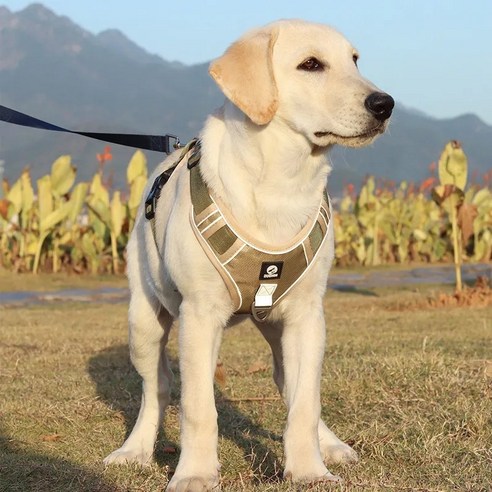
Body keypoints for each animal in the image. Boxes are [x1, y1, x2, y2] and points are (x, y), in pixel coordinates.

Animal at [104, 19, 392, 492]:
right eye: (311, 64)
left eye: (354, 61)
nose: (385, 104)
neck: (280, 182)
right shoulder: (199, 316)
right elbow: (198, 408)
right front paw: (195, 474)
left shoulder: (308, 314)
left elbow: (305, 403)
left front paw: (309, 469)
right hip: (143, 319)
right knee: (157, 388)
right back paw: (135, 449)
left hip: (281, 326)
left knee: (292, 387)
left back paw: (330, 445)